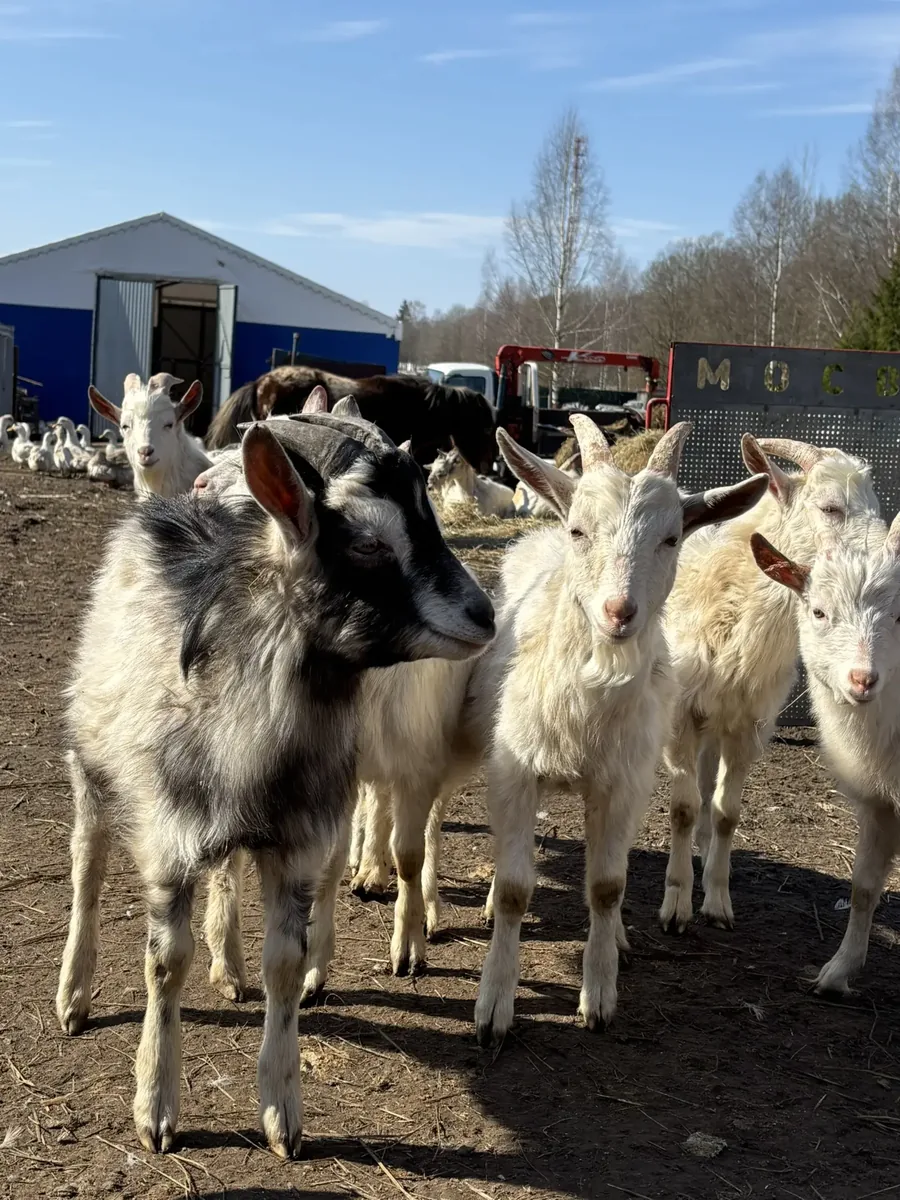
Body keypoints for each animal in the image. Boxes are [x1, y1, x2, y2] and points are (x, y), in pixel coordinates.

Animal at [56, 411, 494, 1157]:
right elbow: (164, 963)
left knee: (227, 871)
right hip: (93, 759)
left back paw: (229, 963)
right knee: (87, 864)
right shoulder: (170, 837)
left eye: (431, 516)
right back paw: (75, 994)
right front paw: (155, 1107)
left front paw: (282, 1115)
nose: (484, 614)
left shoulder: (296, 841)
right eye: (369, 542)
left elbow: (286, 966)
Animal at [472, 419, 769, 1046]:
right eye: (581, 529)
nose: (618, 612)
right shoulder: (515, 772)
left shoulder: (623, 784)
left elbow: (606, 886)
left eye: (672, 538)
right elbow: (514, 888)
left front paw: (600, 993)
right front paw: (494, 1004)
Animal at [659, 438, 883, 934]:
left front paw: (717, 901)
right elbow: (682, 808)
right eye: (830, 507)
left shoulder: (749, 721)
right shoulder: (680, 713)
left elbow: (727, 812)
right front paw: (676, 905)